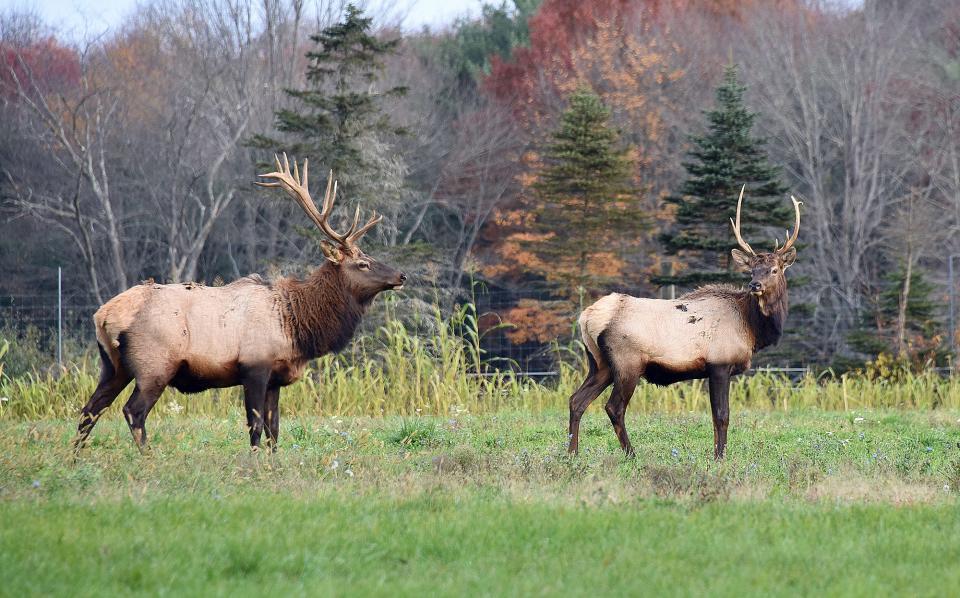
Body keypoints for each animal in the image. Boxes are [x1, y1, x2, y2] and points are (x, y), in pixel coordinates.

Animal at [74, 155, 404, 454]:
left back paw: (74, 459)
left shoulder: (275, 378)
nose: (401, 275)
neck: (295, 326)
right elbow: (255, 426)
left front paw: (272, 466)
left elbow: (274, 431)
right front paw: (254, 466)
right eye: (363, 263)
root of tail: (103, 315)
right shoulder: (254, 366)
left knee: (90, 409)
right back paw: (148, 459)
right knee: (133, 411)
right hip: (154, 364)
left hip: (113, 366)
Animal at [568, 190, 800, 462]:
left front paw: (717, 455)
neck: (751, 328)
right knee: (613, 407)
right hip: (627, 363)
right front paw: (720, 458)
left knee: (576, 400)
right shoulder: (719, 364)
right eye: (751, 270)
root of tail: (587, 317)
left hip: (599, 363)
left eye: (773, 270)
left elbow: (717, 417)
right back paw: (631, 455)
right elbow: (722, 416)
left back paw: (571, 454)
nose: (755, 285)